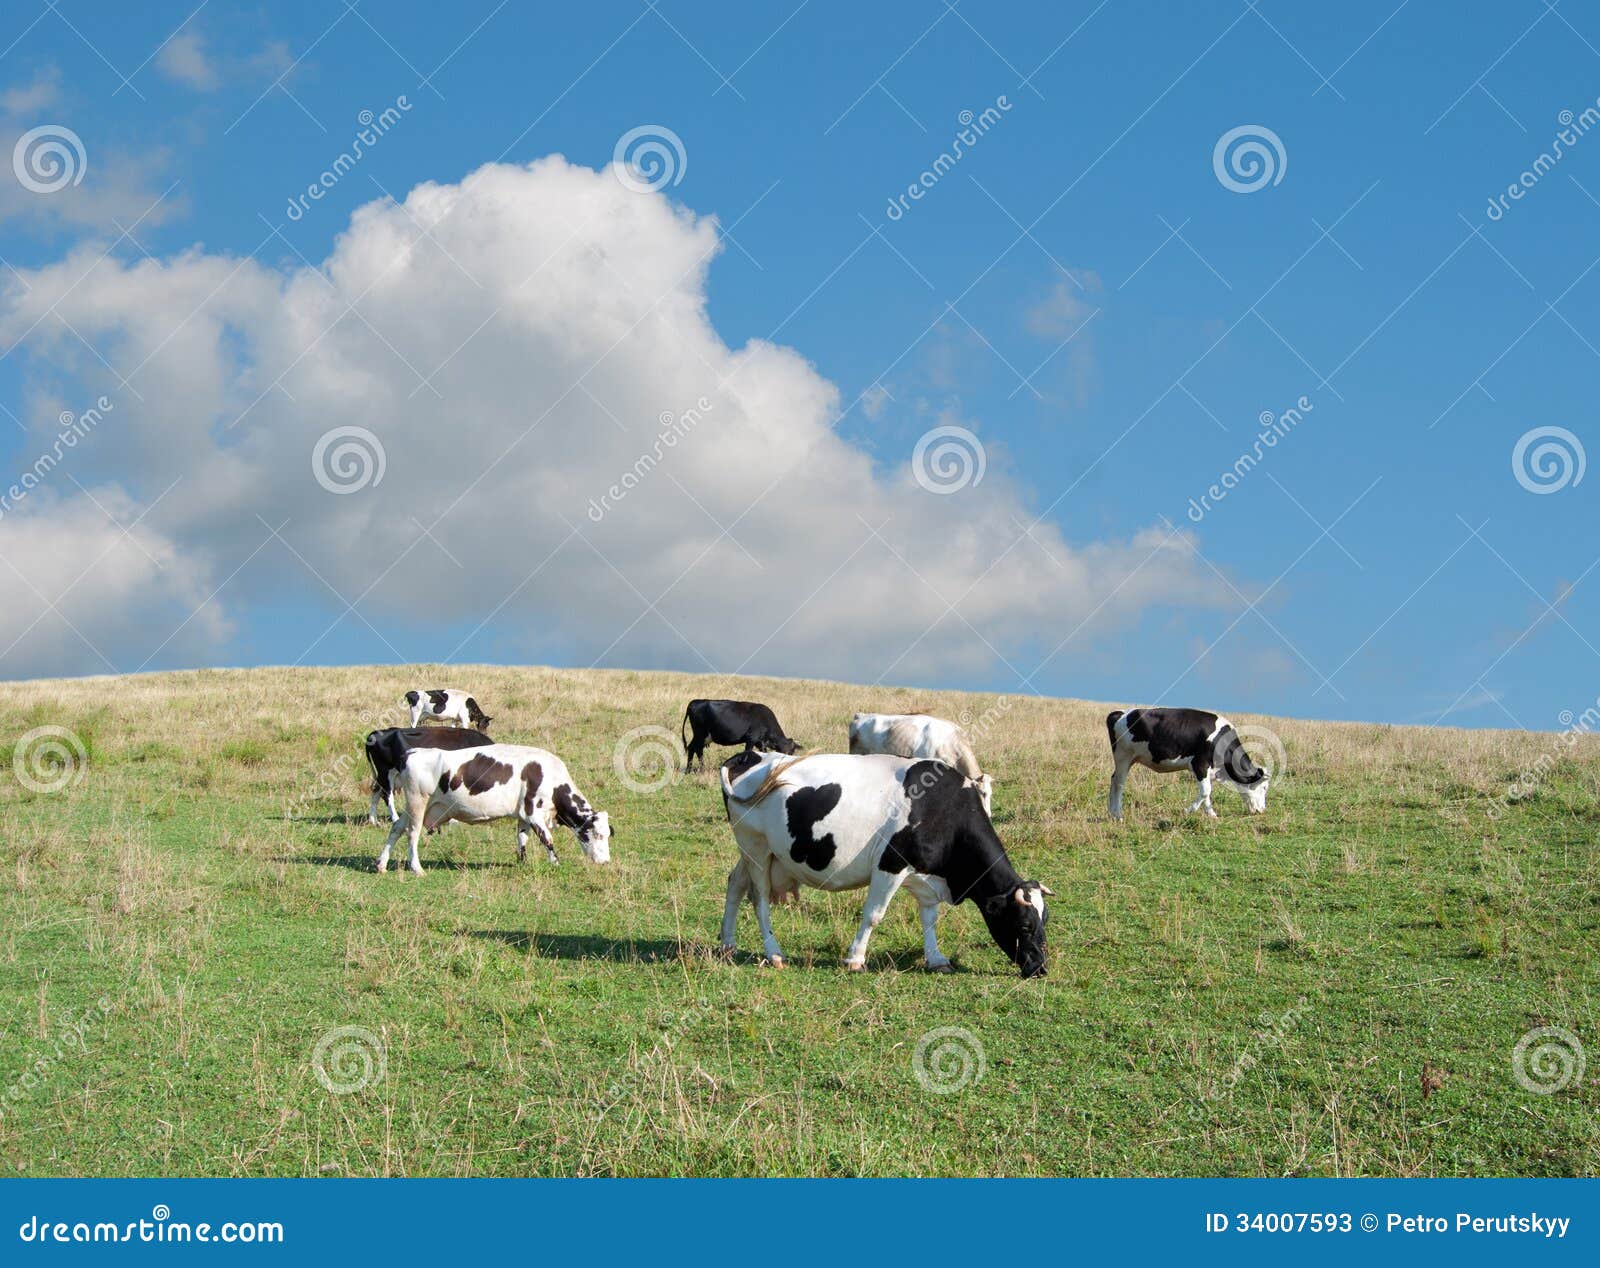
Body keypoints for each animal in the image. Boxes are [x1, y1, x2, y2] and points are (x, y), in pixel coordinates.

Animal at [364, 726, 492, 826]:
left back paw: (373, 821)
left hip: (384, 776)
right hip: (386, 772)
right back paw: (395, 819)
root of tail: (376, 733)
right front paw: (453, 820)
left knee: (376, 791)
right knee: (387, 795)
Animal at [374, 742, 611, 870]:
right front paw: (555, 863)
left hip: (414, 806)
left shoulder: (523, 816)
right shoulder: (534, 814)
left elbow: (521, 840)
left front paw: (522, 862)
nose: (606, 861)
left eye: (608, 835)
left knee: (396, 827)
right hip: (417, 802)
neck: (550, 777)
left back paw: (382, 864)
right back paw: (416, 868)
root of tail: (413, 752)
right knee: (412, 833)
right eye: (596, 835)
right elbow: (548, 840)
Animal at [716, 752, 1049, 979]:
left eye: (1044, 920)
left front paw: (936, 958)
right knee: (759, 899)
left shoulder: (925, 875)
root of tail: (751, 755)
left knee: (735, 884)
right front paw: (855, 959)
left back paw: (727, 944)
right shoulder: (891, 864)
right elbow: (874, 915)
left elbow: (929, 919)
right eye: (1024, 924)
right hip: (755, 847)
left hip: (758, 851)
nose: (1040, 967)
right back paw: (774, 953)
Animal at [1107, 704, 1267, 819]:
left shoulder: (1209, 770)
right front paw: (1188, 810)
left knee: (1114, 779)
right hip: (1123, 756)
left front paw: (1211, 814)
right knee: (1119, 783)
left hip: (1129, 759)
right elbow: (1206, 791)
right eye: (1264, 787)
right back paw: (1118, 815)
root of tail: (1120, 713)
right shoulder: (1200, 764)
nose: (1262, 810)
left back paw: (1111, 813)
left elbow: (1207, 793)